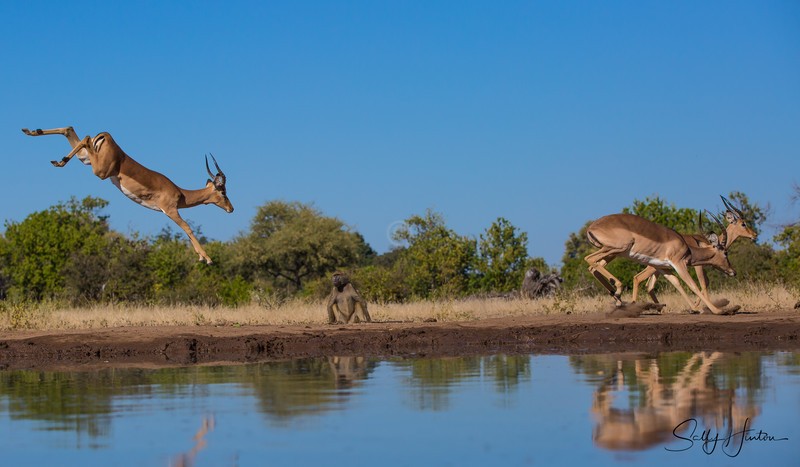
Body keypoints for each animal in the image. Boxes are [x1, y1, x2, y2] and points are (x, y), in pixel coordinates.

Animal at [22, 126, 233, 264]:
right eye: (223, 191)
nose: (231, 208)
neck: (180, 193)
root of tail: (106, 136)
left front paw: (201, 256)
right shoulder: (170, 210)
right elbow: (188, 228)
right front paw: (207, 258)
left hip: (86, 160)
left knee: (70, 129)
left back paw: (34, 135)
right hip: (99, 170)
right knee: (86, 137)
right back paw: (59, 159)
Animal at [584, 212, 735, 315]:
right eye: (725, 252)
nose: (733, 272)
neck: (687, 248)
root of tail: (591, 228)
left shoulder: (662, 267)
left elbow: (676, 282)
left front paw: (694, 308)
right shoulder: (679, 263)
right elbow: (692, 285)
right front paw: (718, 311)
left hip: (611, 251)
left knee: (593, 266)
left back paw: (618, 299)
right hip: (617, 249)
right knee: (589, 259)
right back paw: (619, 290)